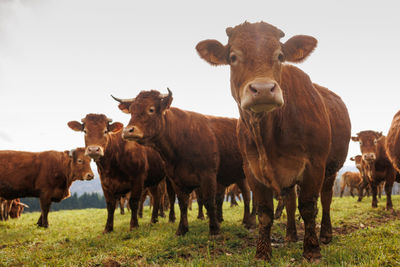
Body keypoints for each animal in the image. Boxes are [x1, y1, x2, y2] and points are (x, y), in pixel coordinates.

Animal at [112, 90, 255, 237]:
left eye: (151, 109)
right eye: (131, 111)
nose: (127, 131)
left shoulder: (208, 174)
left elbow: (209, 201)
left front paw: (214, 230)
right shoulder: (175, 178)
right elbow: (182, 203)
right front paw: (182, 229)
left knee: (248, 195)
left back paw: (249, 222)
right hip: (239, 175)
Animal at [196, 22, 350, 262]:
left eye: (280, 56)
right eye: (233, 57)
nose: (263, 89)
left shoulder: (314, 165)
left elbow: (308, 207)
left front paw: (312, 250)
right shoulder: (252, 170)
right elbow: (265, 212)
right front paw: (262, 252)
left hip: (331, 168)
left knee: (325, 199)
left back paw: (325, 234)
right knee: (291, 201)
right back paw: (290, 235)